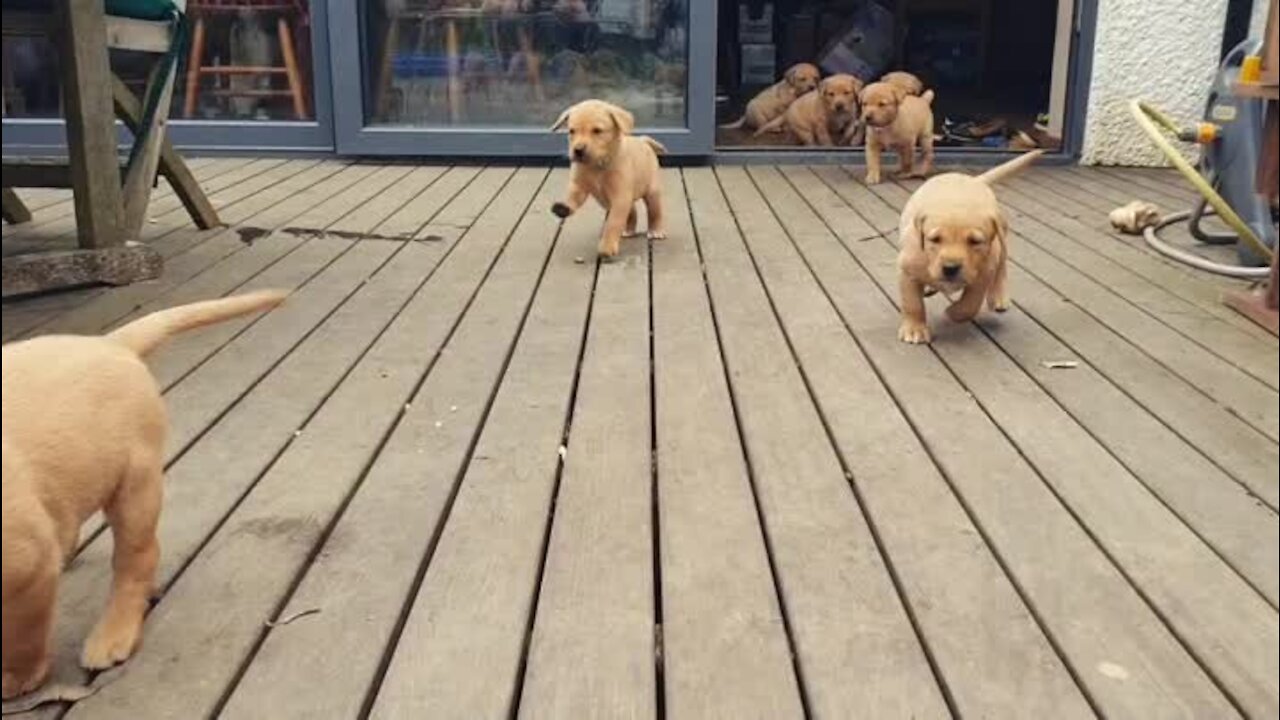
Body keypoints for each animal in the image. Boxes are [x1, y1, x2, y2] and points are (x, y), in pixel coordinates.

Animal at [1, 288, 288, 696]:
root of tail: (108, 343)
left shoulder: (28, 569)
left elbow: (22, 636)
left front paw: (17, 678)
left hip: (135, 487)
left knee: (136, 559)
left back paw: (114, 633)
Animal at [550, 98, 670, 257]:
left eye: (597, 131)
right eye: (572, 131)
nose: (578, 150)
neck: (597, 166)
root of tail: (643, 140)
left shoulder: (620, 197)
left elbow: (613, 223)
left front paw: (607, 246)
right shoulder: (579, 186)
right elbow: (572, 198)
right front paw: (563, 208)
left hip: (652, 192)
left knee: (655, 212)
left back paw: (656, 230)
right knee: (632, 212)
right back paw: (629, 230)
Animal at [896, 149, 1044, 343]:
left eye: (975, 241)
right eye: (935, 239)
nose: (950, 268)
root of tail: (974, 180)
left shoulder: (984, 272)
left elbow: (971, 303)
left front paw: (954, 312)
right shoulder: (907, 271)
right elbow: (912, 302)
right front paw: (915, 329)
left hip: (1000, 242)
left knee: (1001, 268)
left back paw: (999, 297)